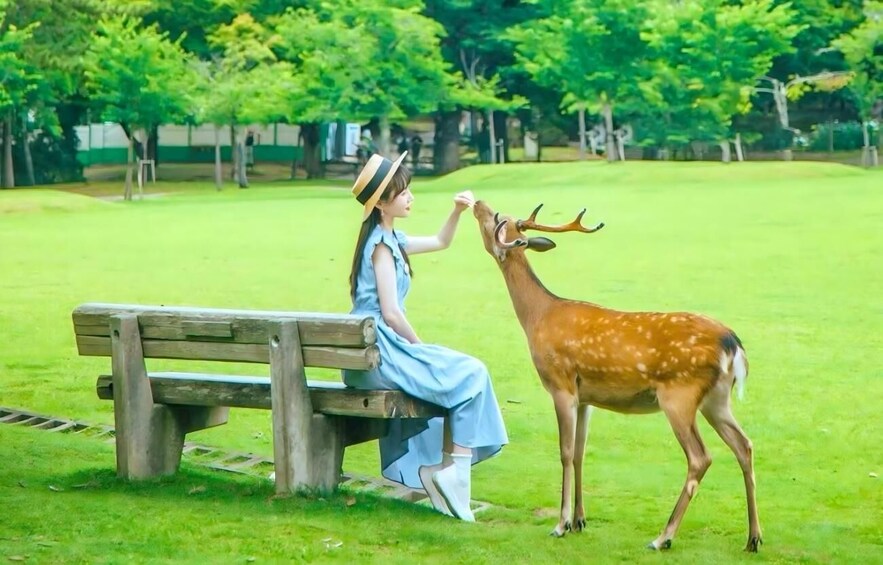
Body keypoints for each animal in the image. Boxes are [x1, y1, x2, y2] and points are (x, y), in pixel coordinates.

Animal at [471, 200, 761, 552]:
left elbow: (564, 452)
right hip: (717, 399)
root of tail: (732, 343)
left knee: (700, 457)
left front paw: (560, 524)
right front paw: (579, 521)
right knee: (744, 446)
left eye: (496, 218)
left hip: (679, 395)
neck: (537, 317)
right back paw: (753, 538)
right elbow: (580, 452)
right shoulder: (586, 398)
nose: (478, 203)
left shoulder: (560, 384)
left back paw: (663, 537)